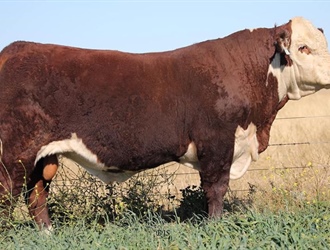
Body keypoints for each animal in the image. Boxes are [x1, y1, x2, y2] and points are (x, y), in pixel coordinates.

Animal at [0, 16, 330, 229]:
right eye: (303, 48)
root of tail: (15, 50)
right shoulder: (217, 142)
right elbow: (216, 188)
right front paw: (214, 226)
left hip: (42, 158)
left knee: (36, 196)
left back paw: (46, 234)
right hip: (14, 154)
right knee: (8, 194)